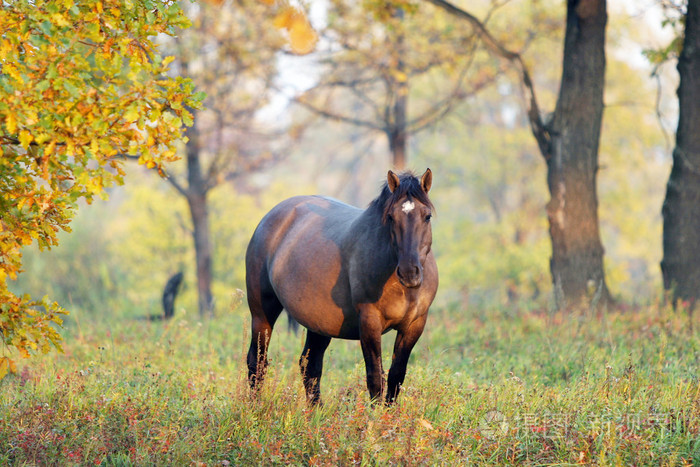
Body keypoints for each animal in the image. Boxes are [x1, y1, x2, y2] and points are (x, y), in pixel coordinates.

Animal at [245, 169, 438, 405]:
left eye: (427, 216)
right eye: (391, 217)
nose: (410, 272)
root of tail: (269, 217)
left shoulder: (414, 325)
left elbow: (396, 377)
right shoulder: (369, 322)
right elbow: (375, 378)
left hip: (318, 323)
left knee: (310, 366)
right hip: (262, 314)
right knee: (257, 362)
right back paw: (254, 407)